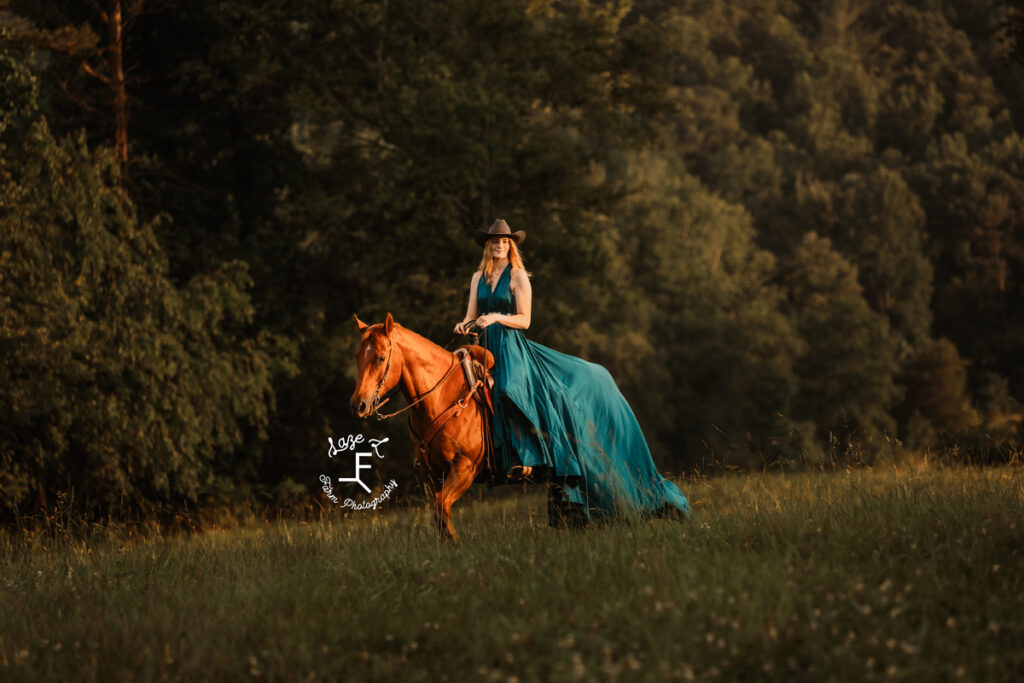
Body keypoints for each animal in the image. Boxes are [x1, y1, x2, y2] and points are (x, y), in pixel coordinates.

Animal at [352, 313, 495, 540]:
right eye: (358, 357)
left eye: (381, 358)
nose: (359, 405)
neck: (441, 397)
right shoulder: (431, 473)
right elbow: (439, 513)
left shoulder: (465, 467)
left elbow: (441, 508)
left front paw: (457, 542)